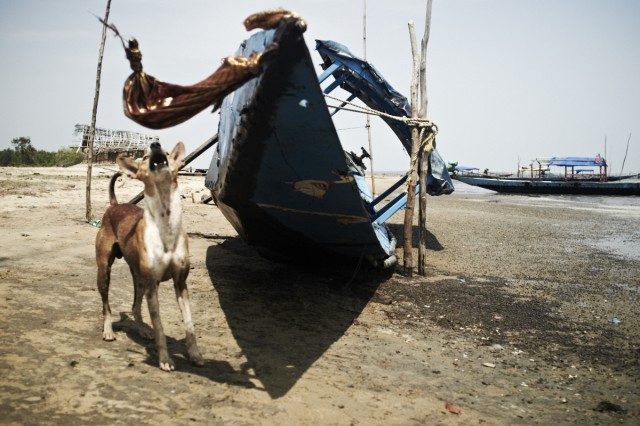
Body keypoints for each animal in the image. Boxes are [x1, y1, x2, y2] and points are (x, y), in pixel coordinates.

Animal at [95, 141, 203, 371]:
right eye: (144, 157)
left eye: (167, 152)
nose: (155, 144)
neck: (166, 224)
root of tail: (114, 204)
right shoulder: (153, 285)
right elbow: (159, 326)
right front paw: (165, 359)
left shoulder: (181, 284)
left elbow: (189, 324)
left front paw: (195, 354)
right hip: (104, 270)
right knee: (106, 305)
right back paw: (108, 330)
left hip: (138, 278)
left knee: (135, 306)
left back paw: (142, 329)